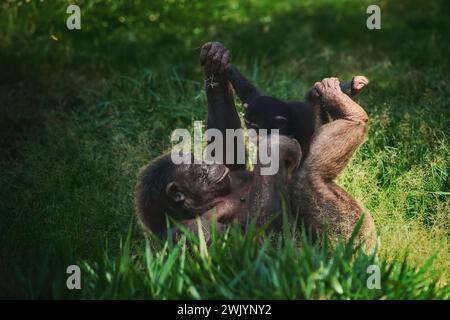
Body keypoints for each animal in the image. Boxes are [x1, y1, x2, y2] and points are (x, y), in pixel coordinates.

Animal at [134, 42, 376, 248]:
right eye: (197, 171)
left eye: (199, 163)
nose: (209, 166)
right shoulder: (194, 231)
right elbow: (255, 242)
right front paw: (275, 147)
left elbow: (229, 147)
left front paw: (215, 60)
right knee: (307, 176)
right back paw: (350, 113)